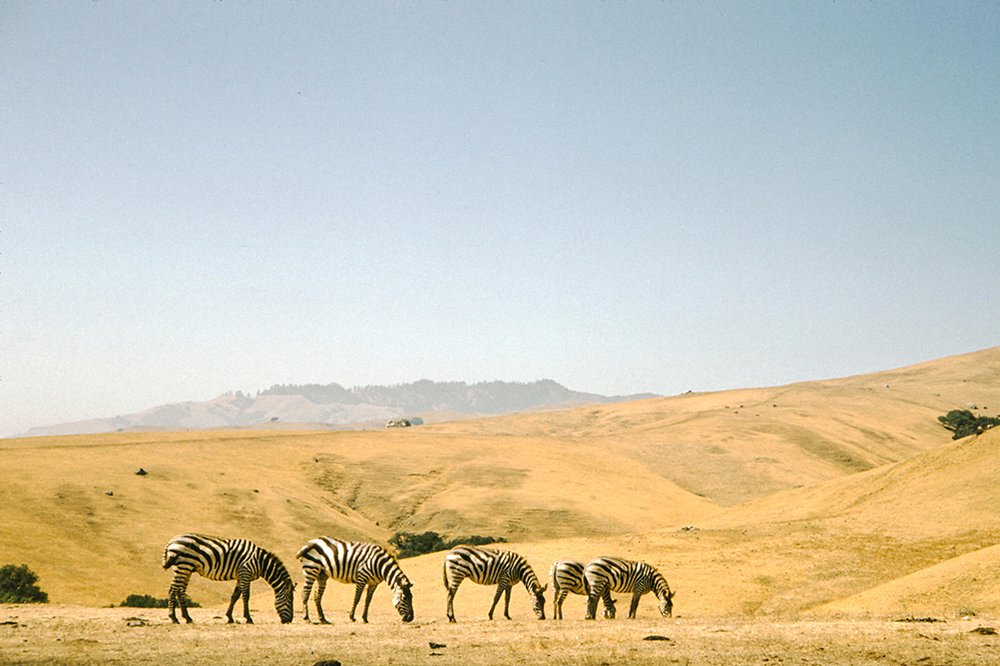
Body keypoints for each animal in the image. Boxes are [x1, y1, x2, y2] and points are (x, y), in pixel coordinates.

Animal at [162, 528, 294, 624]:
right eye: (289, 601)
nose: (289, 620)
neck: (260, 562)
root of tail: (171, 542)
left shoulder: (240, 575)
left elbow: (235, 596)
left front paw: (229, 617)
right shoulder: (245, 573)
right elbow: (246, 596)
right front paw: (248, 618)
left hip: (185, 568)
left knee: (180, 591)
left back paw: (187, 618)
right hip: (183, 567)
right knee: (173, 590)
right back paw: (174, 618)